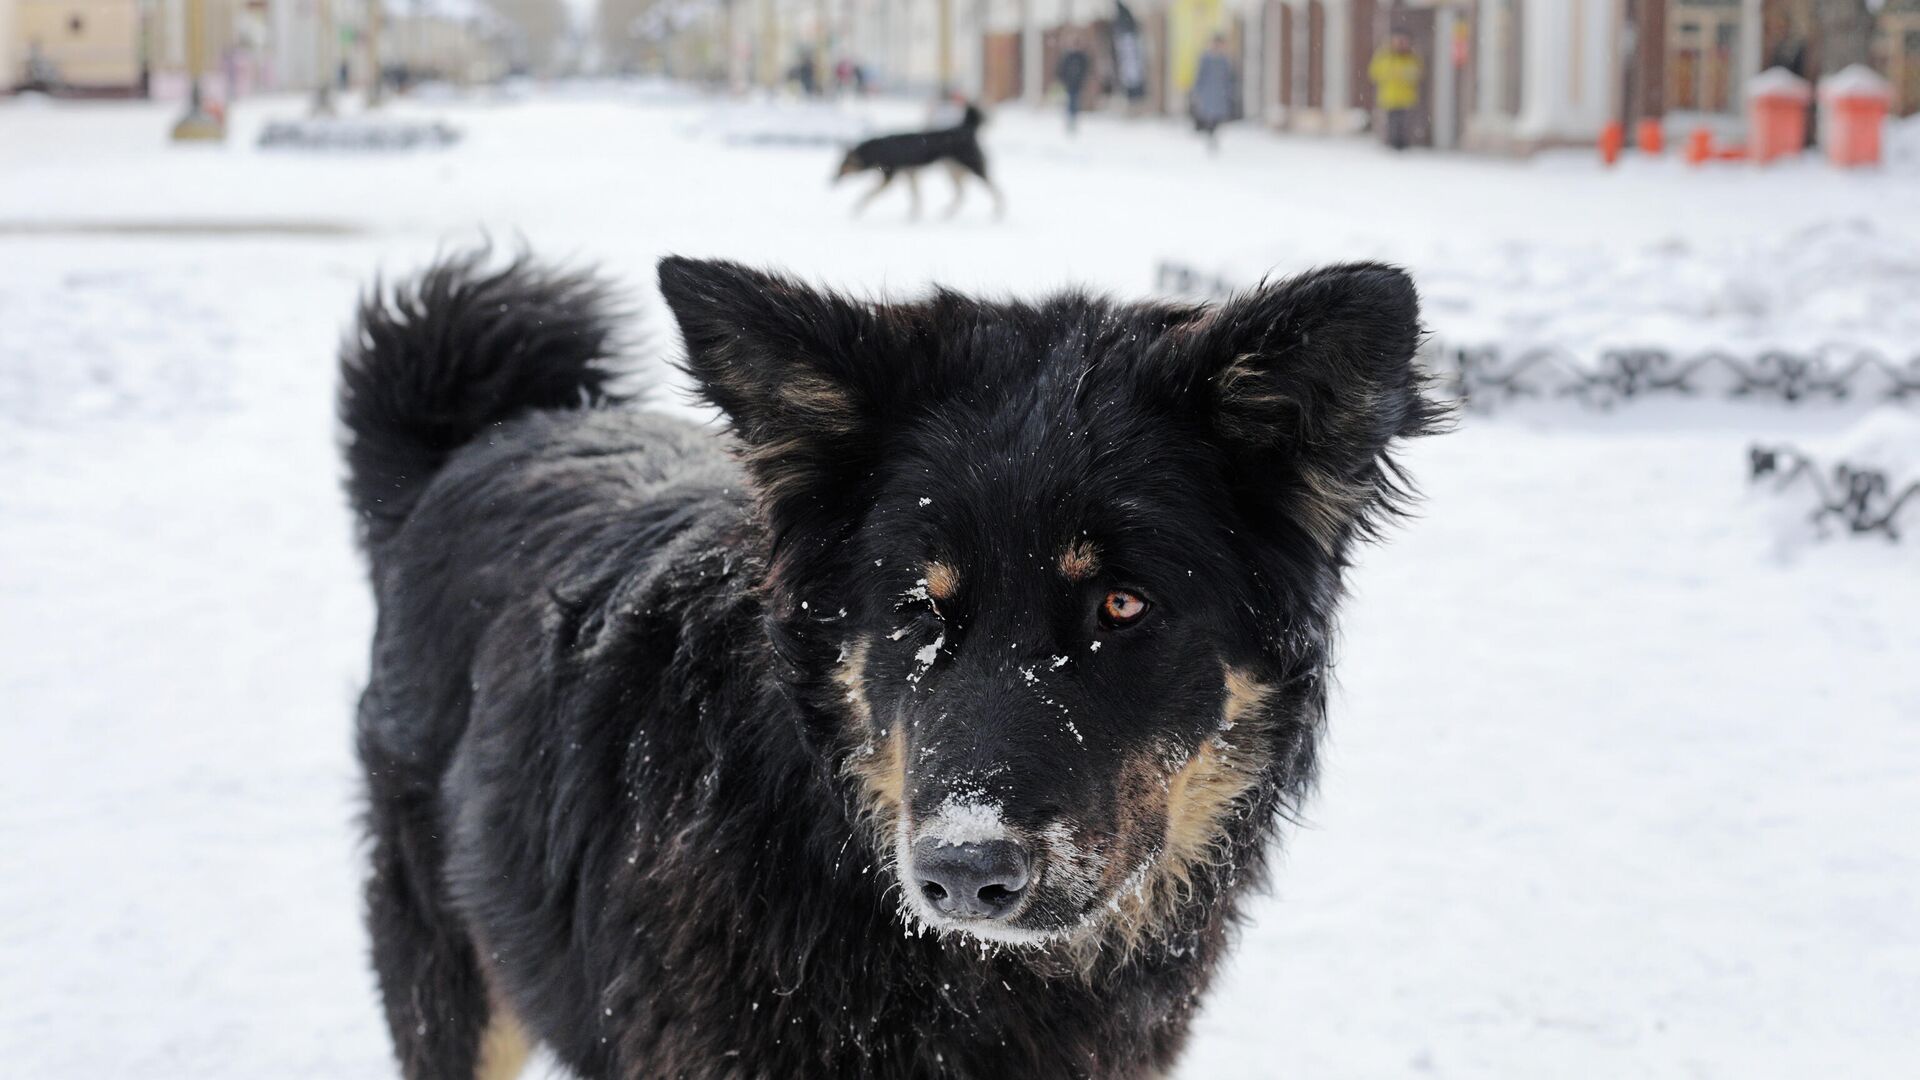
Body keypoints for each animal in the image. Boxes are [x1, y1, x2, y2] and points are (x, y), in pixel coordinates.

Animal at [833, 102, 1006, 219]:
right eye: (837, 166)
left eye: (842, 166)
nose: (831, 180)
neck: (876, 150)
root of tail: (966, 128)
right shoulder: (910, 175)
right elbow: (915, 197)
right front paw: (914, 215)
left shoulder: (891, 176)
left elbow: (869, 194)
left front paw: (858, 207)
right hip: (952, 171)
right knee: (962, 194)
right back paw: (948, 213)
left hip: (973, 167)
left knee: (994, 189)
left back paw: (998, 211)